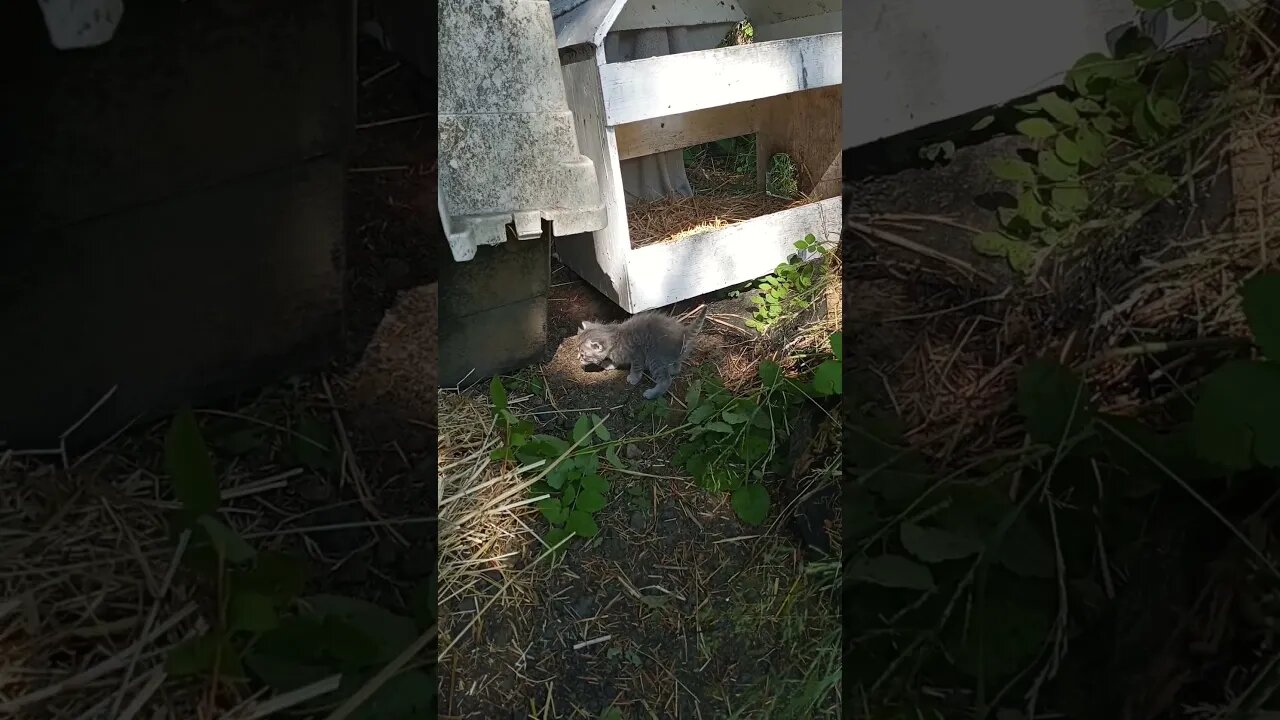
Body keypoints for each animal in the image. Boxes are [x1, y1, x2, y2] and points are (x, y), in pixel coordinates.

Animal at [578, 304, 711, 399]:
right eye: (578, 351)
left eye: (583, 355)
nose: (578, 358)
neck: (616, 336)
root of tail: (683, 333)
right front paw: (610, 364)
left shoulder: (637, 354)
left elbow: (636, 367)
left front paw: (633, 378)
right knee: (677, 364)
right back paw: (673, 369)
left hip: (654, 358)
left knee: (665, 380)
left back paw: (652, 393)